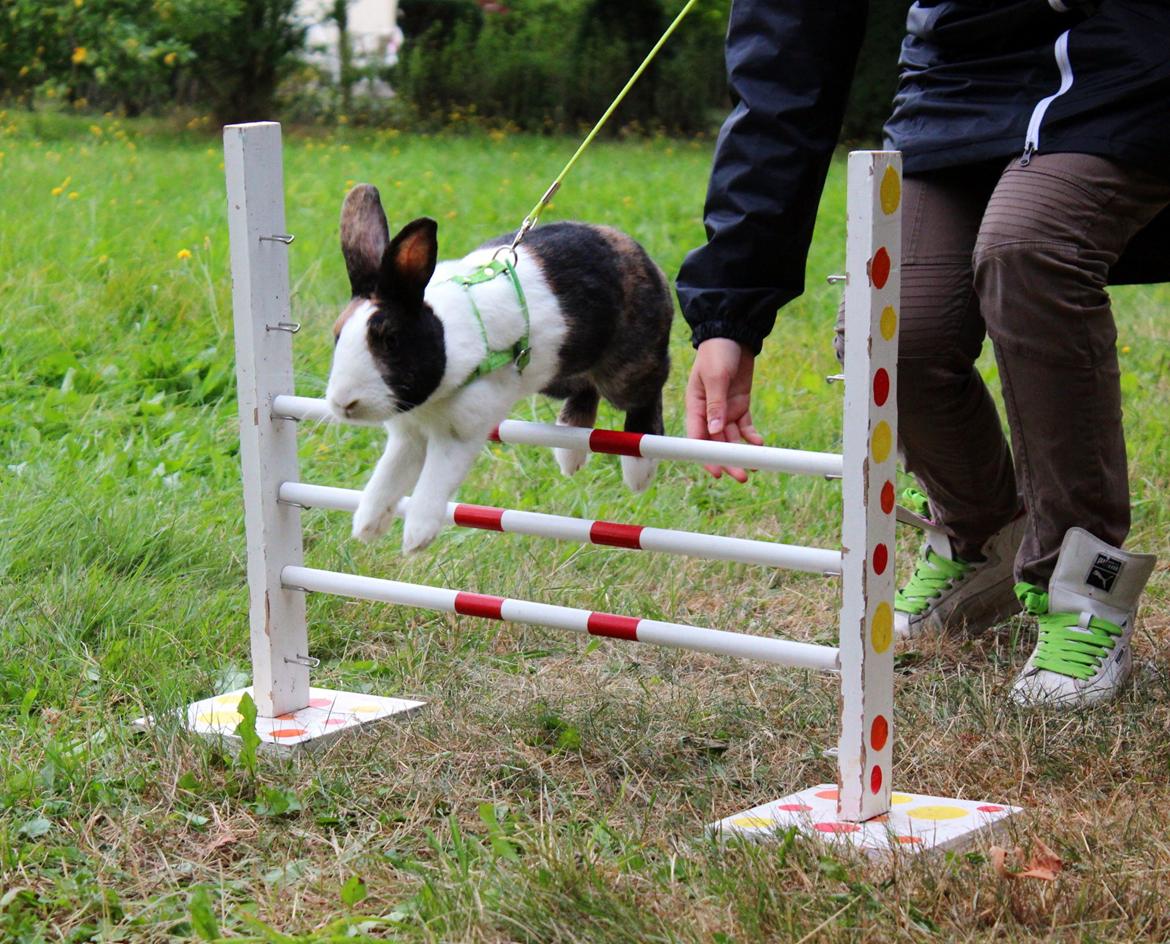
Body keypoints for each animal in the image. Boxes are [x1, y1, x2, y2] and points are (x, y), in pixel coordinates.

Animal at [325, 183, 673, 554]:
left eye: (390, 339)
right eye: (337, 334)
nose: (343, 404)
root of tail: (633, 249)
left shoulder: (460, 431)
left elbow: (435, 479)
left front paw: (417, 537)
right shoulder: (408, 436)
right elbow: (388, 476)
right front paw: (367, 526)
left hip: (626, 371)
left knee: (646, 395)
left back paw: (638, 471)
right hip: (556, 371)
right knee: (583, 389)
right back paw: (570, 455)